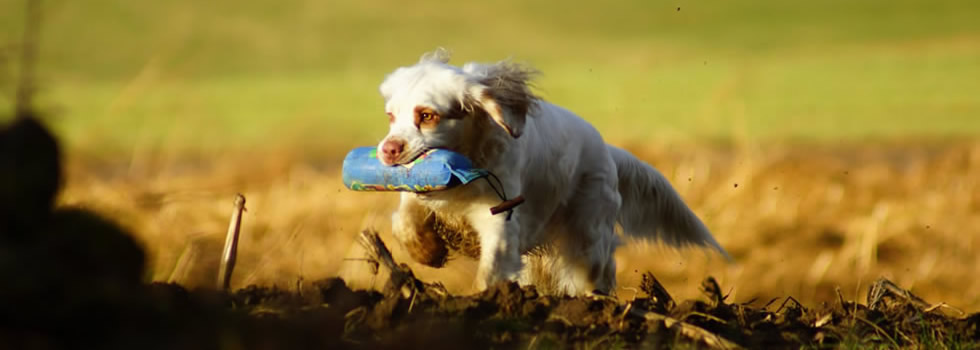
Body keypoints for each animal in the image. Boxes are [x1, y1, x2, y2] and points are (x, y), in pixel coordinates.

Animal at [376, 50, 728, 296]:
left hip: (587, 239)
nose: (388, 150)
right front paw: (427, 250)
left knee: (595, 275)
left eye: (427, 115)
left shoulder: (500, 218)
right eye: (390, 116)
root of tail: (606, 149)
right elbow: (405, 217)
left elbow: (490, 269)